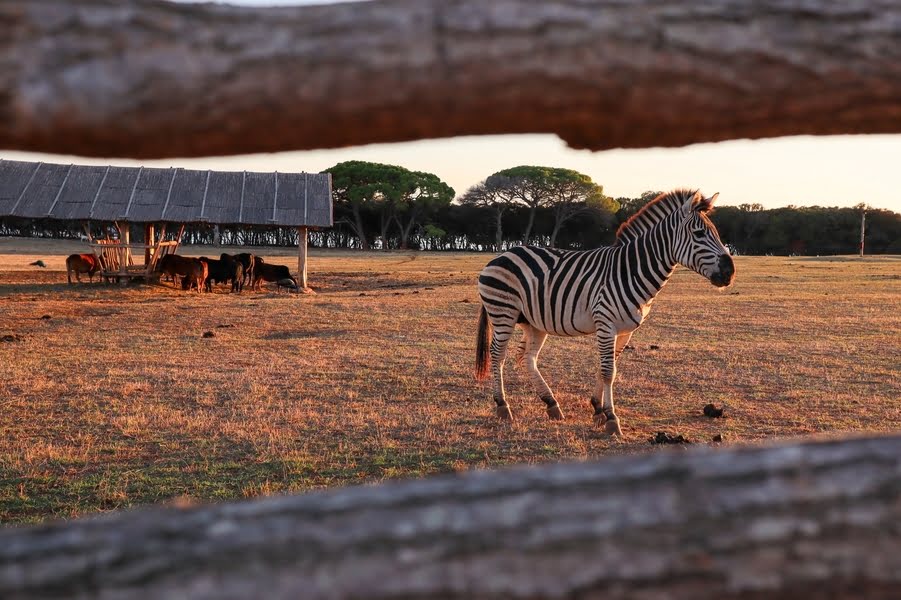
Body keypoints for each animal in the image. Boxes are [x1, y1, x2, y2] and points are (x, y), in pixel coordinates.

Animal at [475, 189, 735, 436]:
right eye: (699, 233)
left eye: (715, 232)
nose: (730, 272)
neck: (630, 271)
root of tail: (501, 255)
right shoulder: (605, 323)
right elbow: (609, 371)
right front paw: (611, 418)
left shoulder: (626, 331)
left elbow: (609, 367)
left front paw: (597, 409)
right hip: (503, 313)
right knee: (498, 354)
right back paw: (502, 406)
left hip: (533, 322)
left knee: (528, 358)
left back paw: (551, 404)